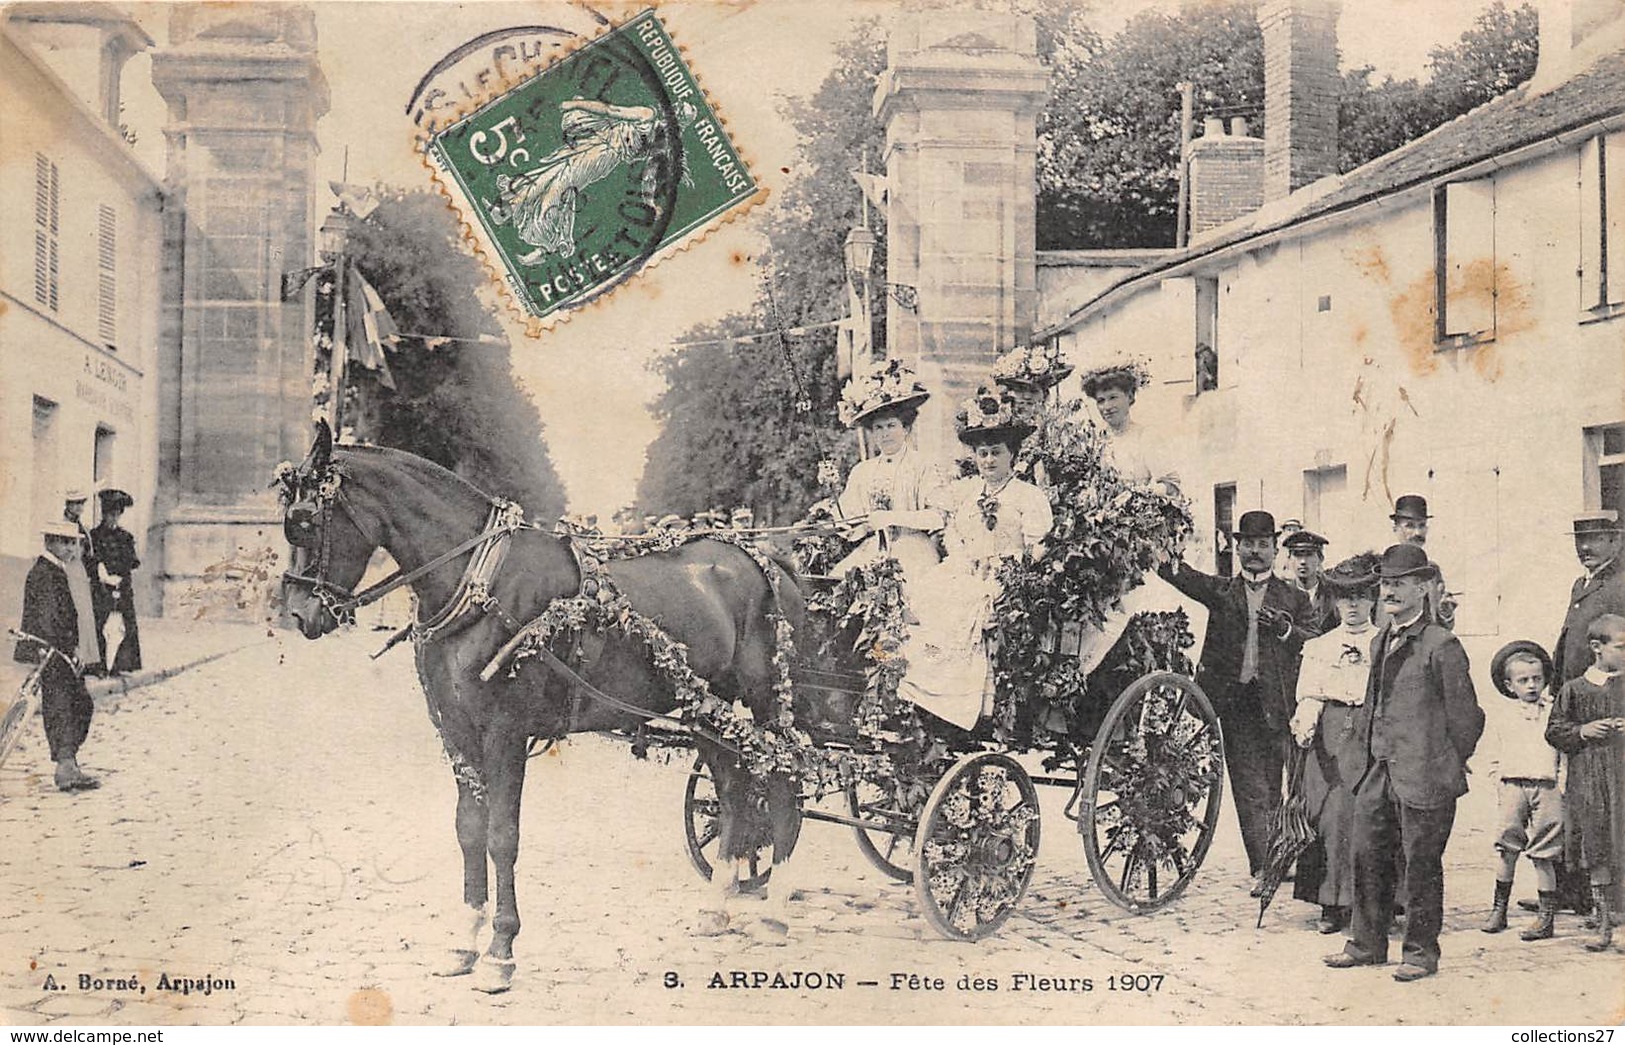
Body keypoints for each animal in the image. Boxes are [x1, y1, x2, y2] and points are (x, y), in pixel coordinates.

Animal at [281, 422, 812, 988]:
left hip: (765, 699)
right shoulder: (456, 732)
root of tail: (769, 560)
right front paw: (464, 940)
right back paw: (717, 906)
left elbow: (501, 836)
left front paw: (501, 948)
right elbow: (468, 830)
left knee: (784, 785)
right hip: (705, 708)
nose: (296, 613)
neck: (481, 581)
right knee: (733, 791)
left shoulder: (506, 733)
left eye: (305, 521)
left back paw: (775, 911)